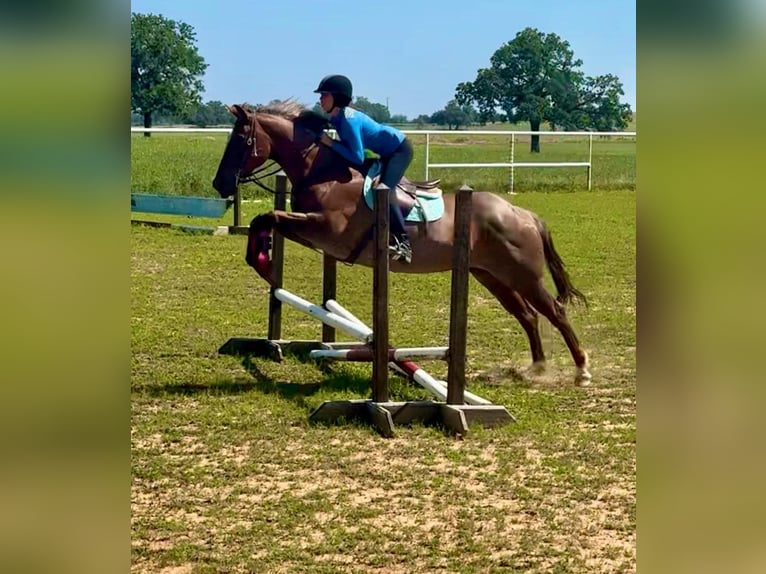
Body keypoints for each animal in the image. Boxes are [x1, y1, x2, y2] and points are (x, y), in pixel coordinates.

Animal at [212, 101, 592, 385]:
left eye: (240, 140)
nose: (219, 184)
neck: (324, 174)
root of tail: (524, 214)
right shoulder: (316, 234)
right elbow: (268, 220)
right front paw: (262, 256)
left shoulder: (326, 231)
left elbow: (269, 217)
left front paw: (262, 260)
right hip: (491, 275)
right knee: (527, 315)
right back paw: (537, 368)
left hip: (522, 274)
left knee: (554, 311)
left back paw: (581, 370)